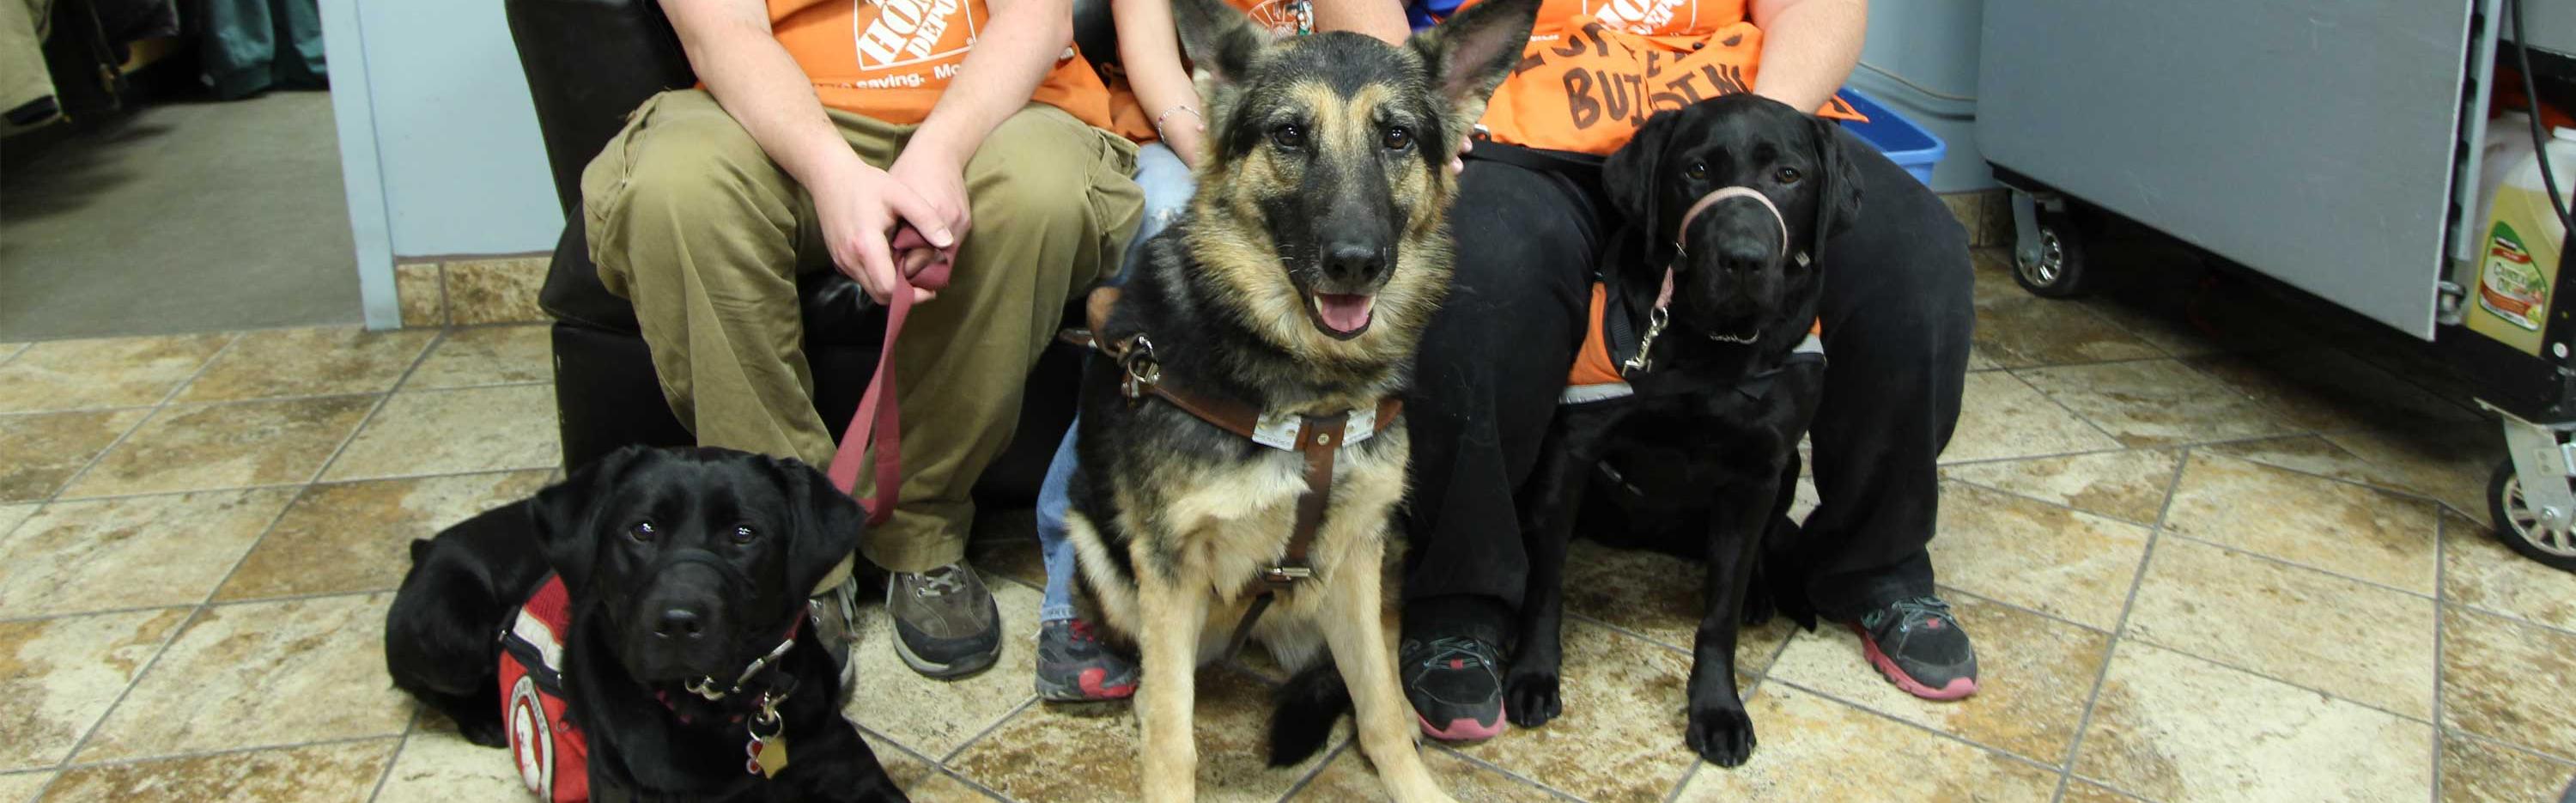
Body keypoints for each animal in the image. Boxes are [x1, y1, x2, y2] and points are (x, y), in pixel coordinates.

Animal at [1061, 0, 1535, 798]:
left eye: (1397, 137)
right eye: (1289, 134)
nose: (1355, 262)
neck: (1307, 397)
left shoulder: (1355, 554)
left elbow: (1376, 705)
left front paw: (1412, 776)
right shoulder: (1169, 568)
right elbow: (1173, 736)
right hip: (1100, 548)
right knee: (1162, 675)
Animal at [1504, 97, 1865, 767]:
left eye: (1789, 176)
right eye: (1697, 169)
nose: (1744, 258)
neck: (1709, 346)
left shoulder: (1758, 471)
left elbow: (1719, 613)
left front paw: (1718, 708)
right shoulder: (1571, 453)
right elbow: (1545, 582)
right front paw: (1533, 671)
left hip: (1788, 471)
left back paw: (1759, 594)